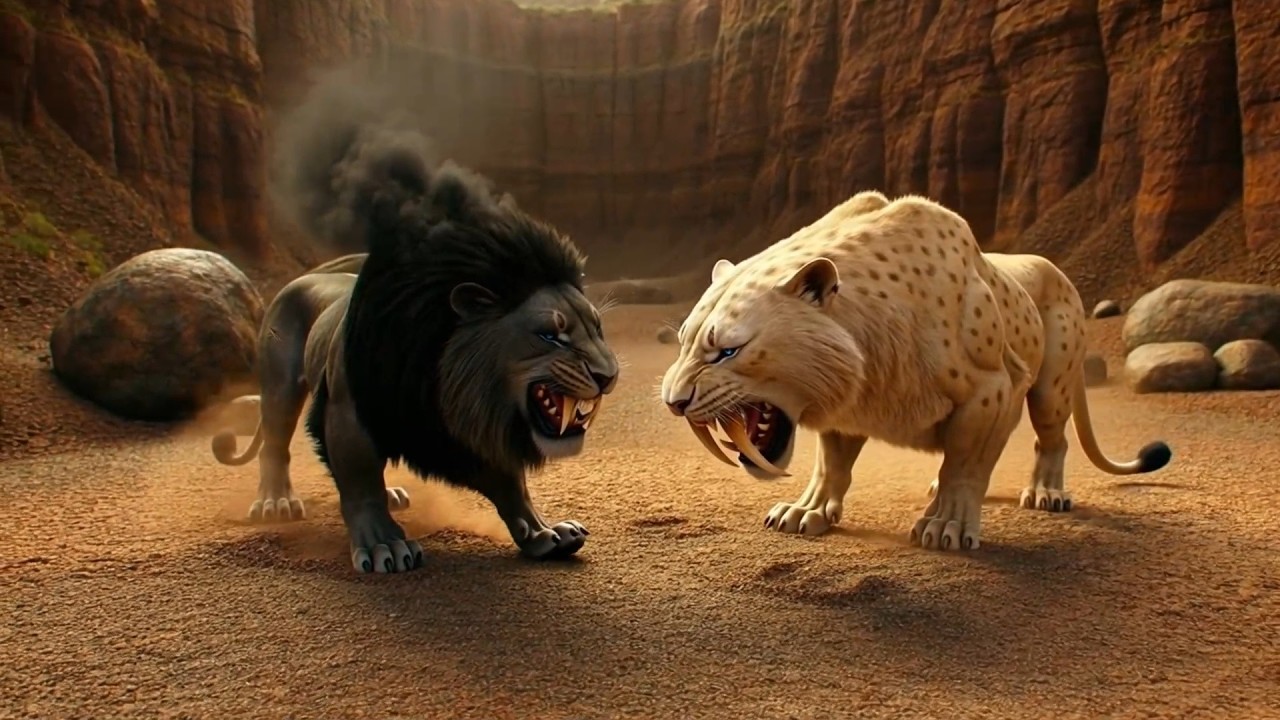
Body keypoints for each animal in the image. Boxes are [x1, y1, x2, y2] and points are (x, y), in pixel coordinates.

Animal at [211, 171, 619, 574]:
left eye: (597, 329)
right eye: (550, 335)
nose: (608, 375)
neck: (447, 385)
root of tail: (306, 276)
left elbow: (512, 486)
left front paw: (542, 534)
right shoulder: (350, 414)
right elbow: (360, 482)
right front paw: (383, 545)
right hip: (280, 383)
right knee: (275, 442)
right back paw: (275, 503)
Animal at [660, 191, 1171, 551]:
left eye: (727, 351)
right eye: (684, 342)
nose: (673, 402)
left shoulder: (992, 387)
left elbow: (965, 463)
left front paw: (946, 527)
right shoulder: (849, 409)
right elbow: (831, 464)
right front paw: (805, 513)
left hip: (1053, 385)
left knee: (1052, 440)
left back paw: (1046, 494)